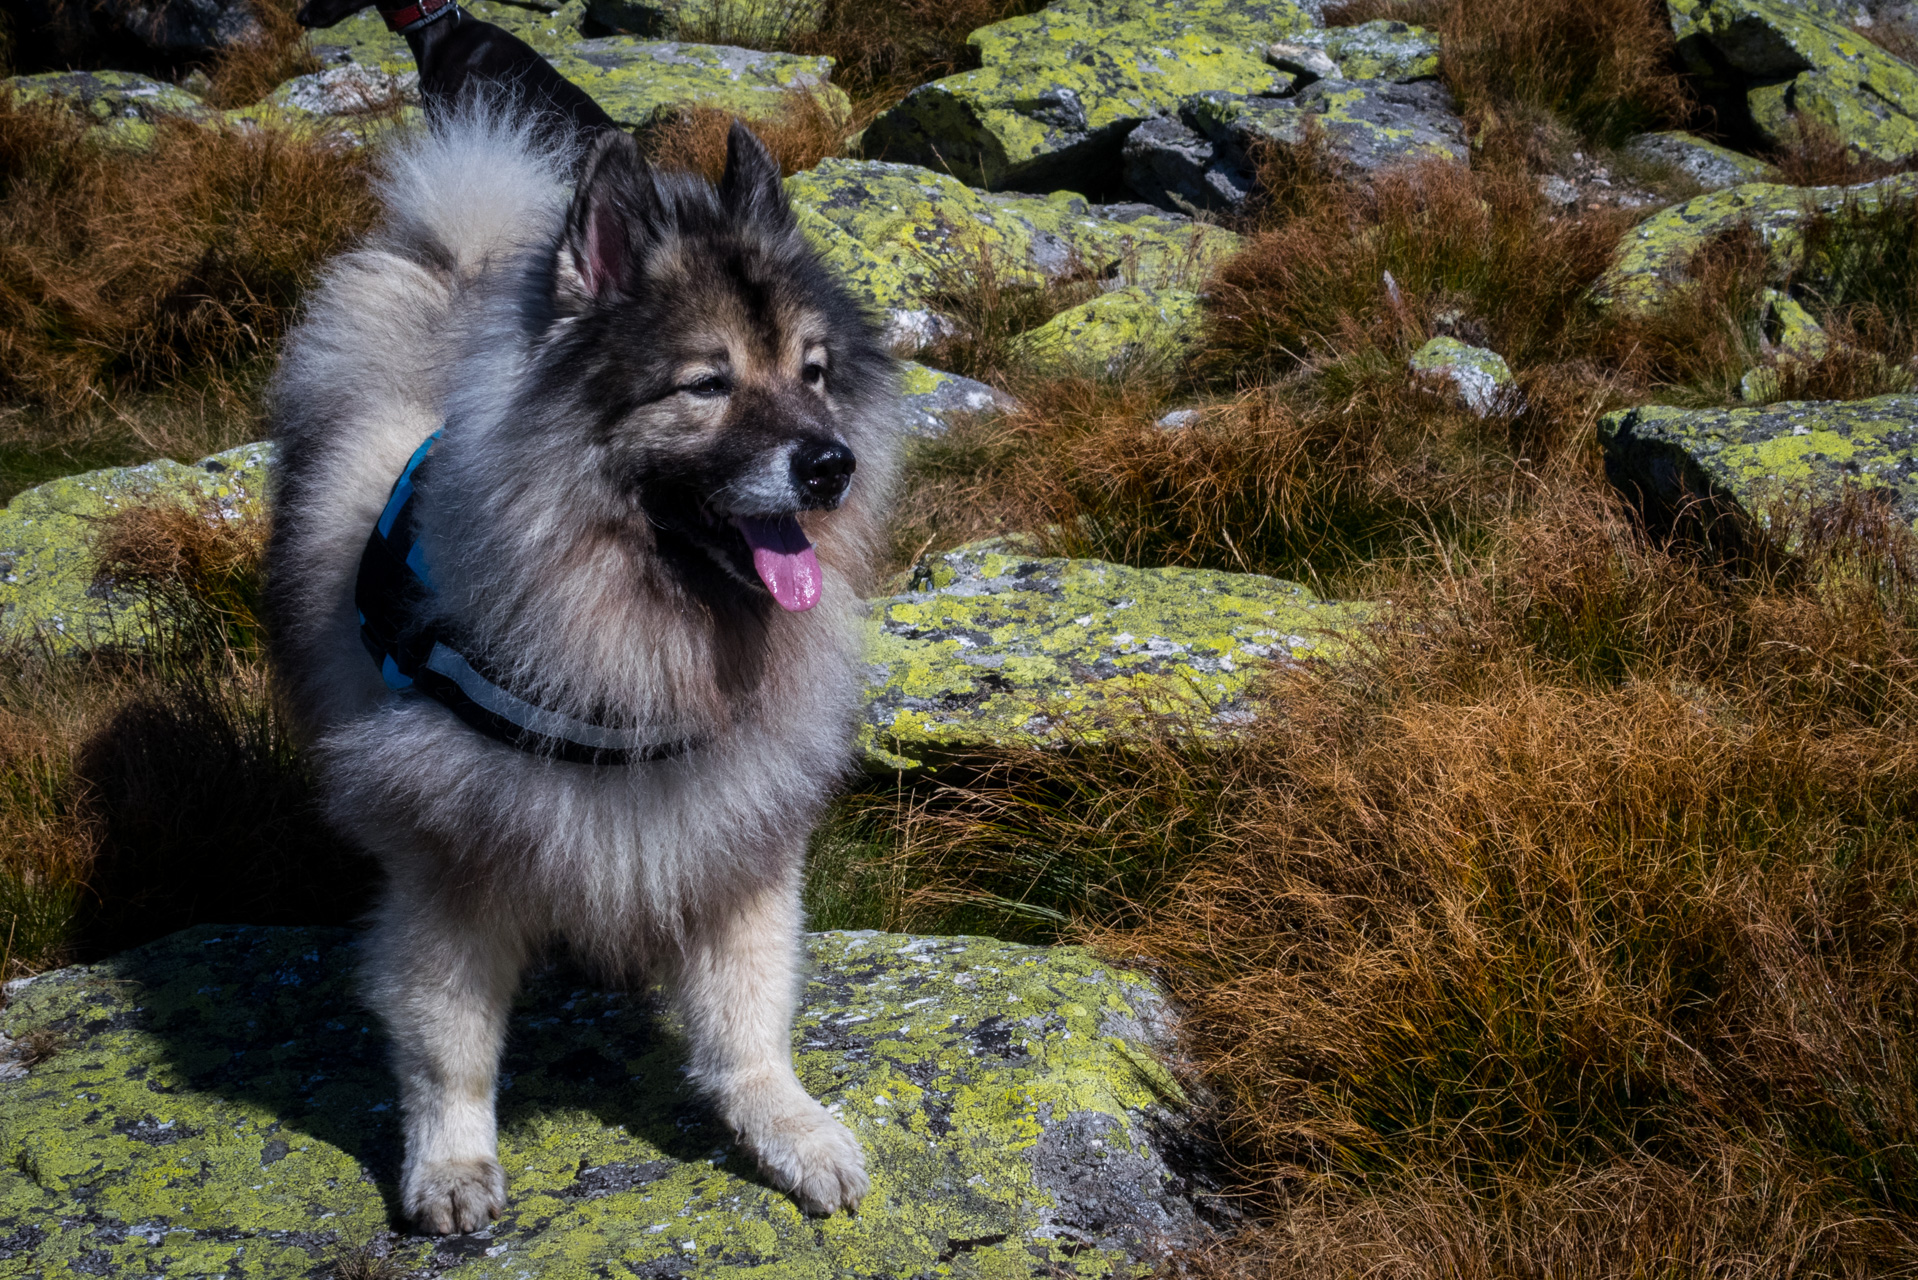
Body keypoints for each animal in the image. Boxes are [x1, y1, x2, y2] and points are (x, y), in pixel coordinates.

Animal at [266, 107, 901, 1228]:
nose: (832, 465)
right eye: (707, 383)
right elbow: (450, 1039)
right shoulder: (449, 862)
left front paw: (789, 1126)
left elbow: (749, 1014)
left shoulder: (738, 827)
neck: (639, 626)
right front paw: (451, 1165)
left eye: (814, 371)